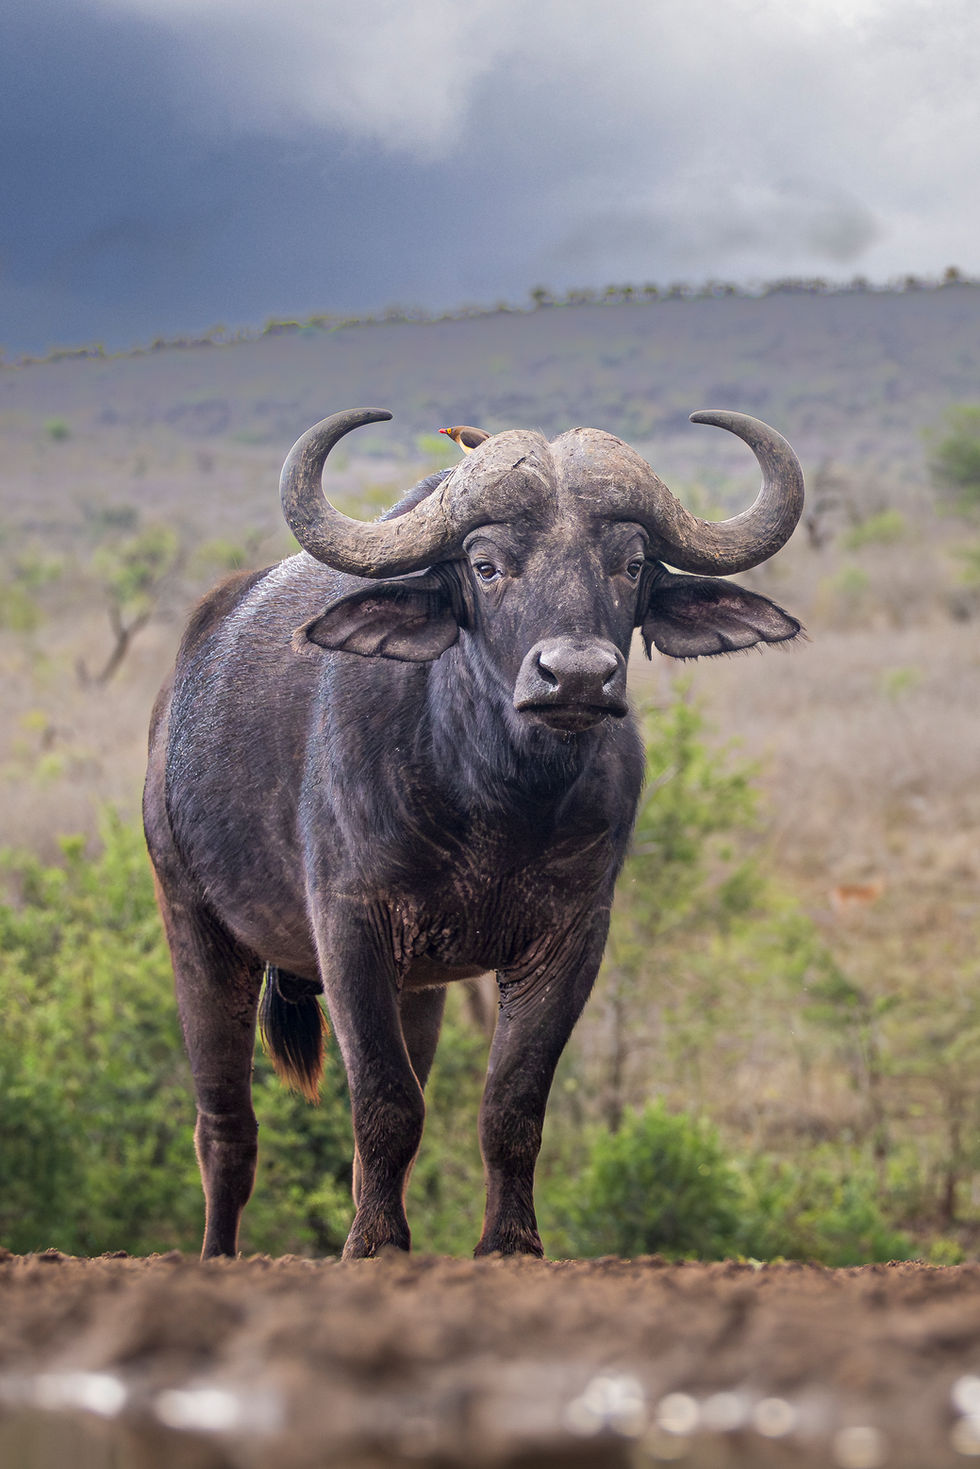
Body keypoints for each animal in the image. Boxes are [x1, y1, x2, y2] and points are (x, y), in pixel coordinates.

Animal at [144, 407, 804, 1259]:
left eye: (629, 564)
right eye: (487, 566)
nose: (576, 676)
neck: (496, 801)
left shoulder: (570, 938)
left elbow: (509, 1104)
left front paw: (509, 1239)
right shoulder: (349, 927)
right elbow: (385, 1098)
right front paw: (376, 1243)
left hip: (417, 987)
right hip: (196, 922)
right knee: (225, 1123)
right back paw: (219, 1252)